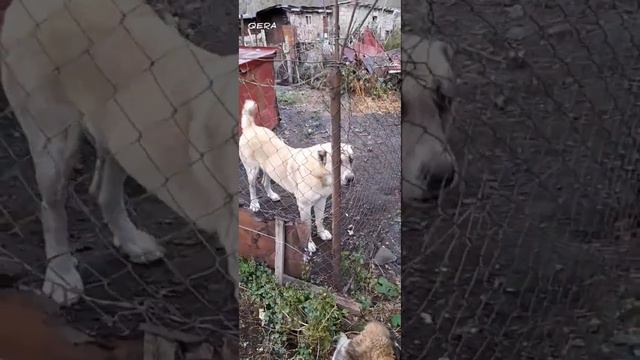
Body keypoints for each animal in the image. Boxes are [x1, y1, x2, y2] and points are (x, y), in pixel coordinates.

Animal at [238, 100, 356, 255]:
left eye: (351, 160)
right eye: (338, 163)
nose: (351, 178)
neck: (319, 173)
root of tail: (251, 127)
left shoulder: (321, 200)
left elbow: (319, 220)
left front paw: (322, 233)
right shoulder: (304, 206)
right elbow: (307, 226)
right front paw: (309, 244)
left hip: (269, 169)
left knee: (265, 181)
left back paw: (272, 195)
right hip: (252, 170)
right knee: (252, 186)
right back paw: (254, 204)